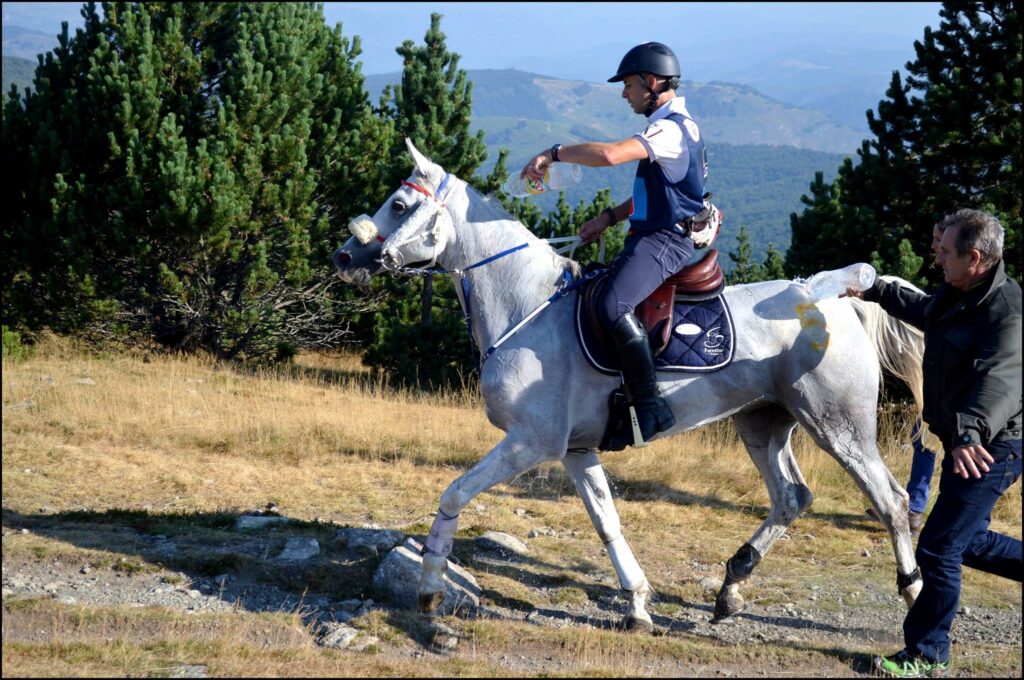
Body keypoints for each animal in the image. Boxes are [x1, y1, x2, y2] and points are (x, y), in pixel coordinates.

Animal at [335, 139, 929, 630]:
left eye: (400, 206)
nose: (345, 256)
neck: (526, 306)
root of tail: (838, 298)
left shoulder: (531, 442)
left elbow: (455, 492)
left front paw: (431, 586)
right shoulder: (575, 450)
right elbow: (606, 521)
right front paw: (638, 603)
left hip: (839, 425)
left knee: (890, 499)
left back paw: (912, 590)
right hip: (763, 420)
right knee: (791, 496)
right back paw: (732, 586)